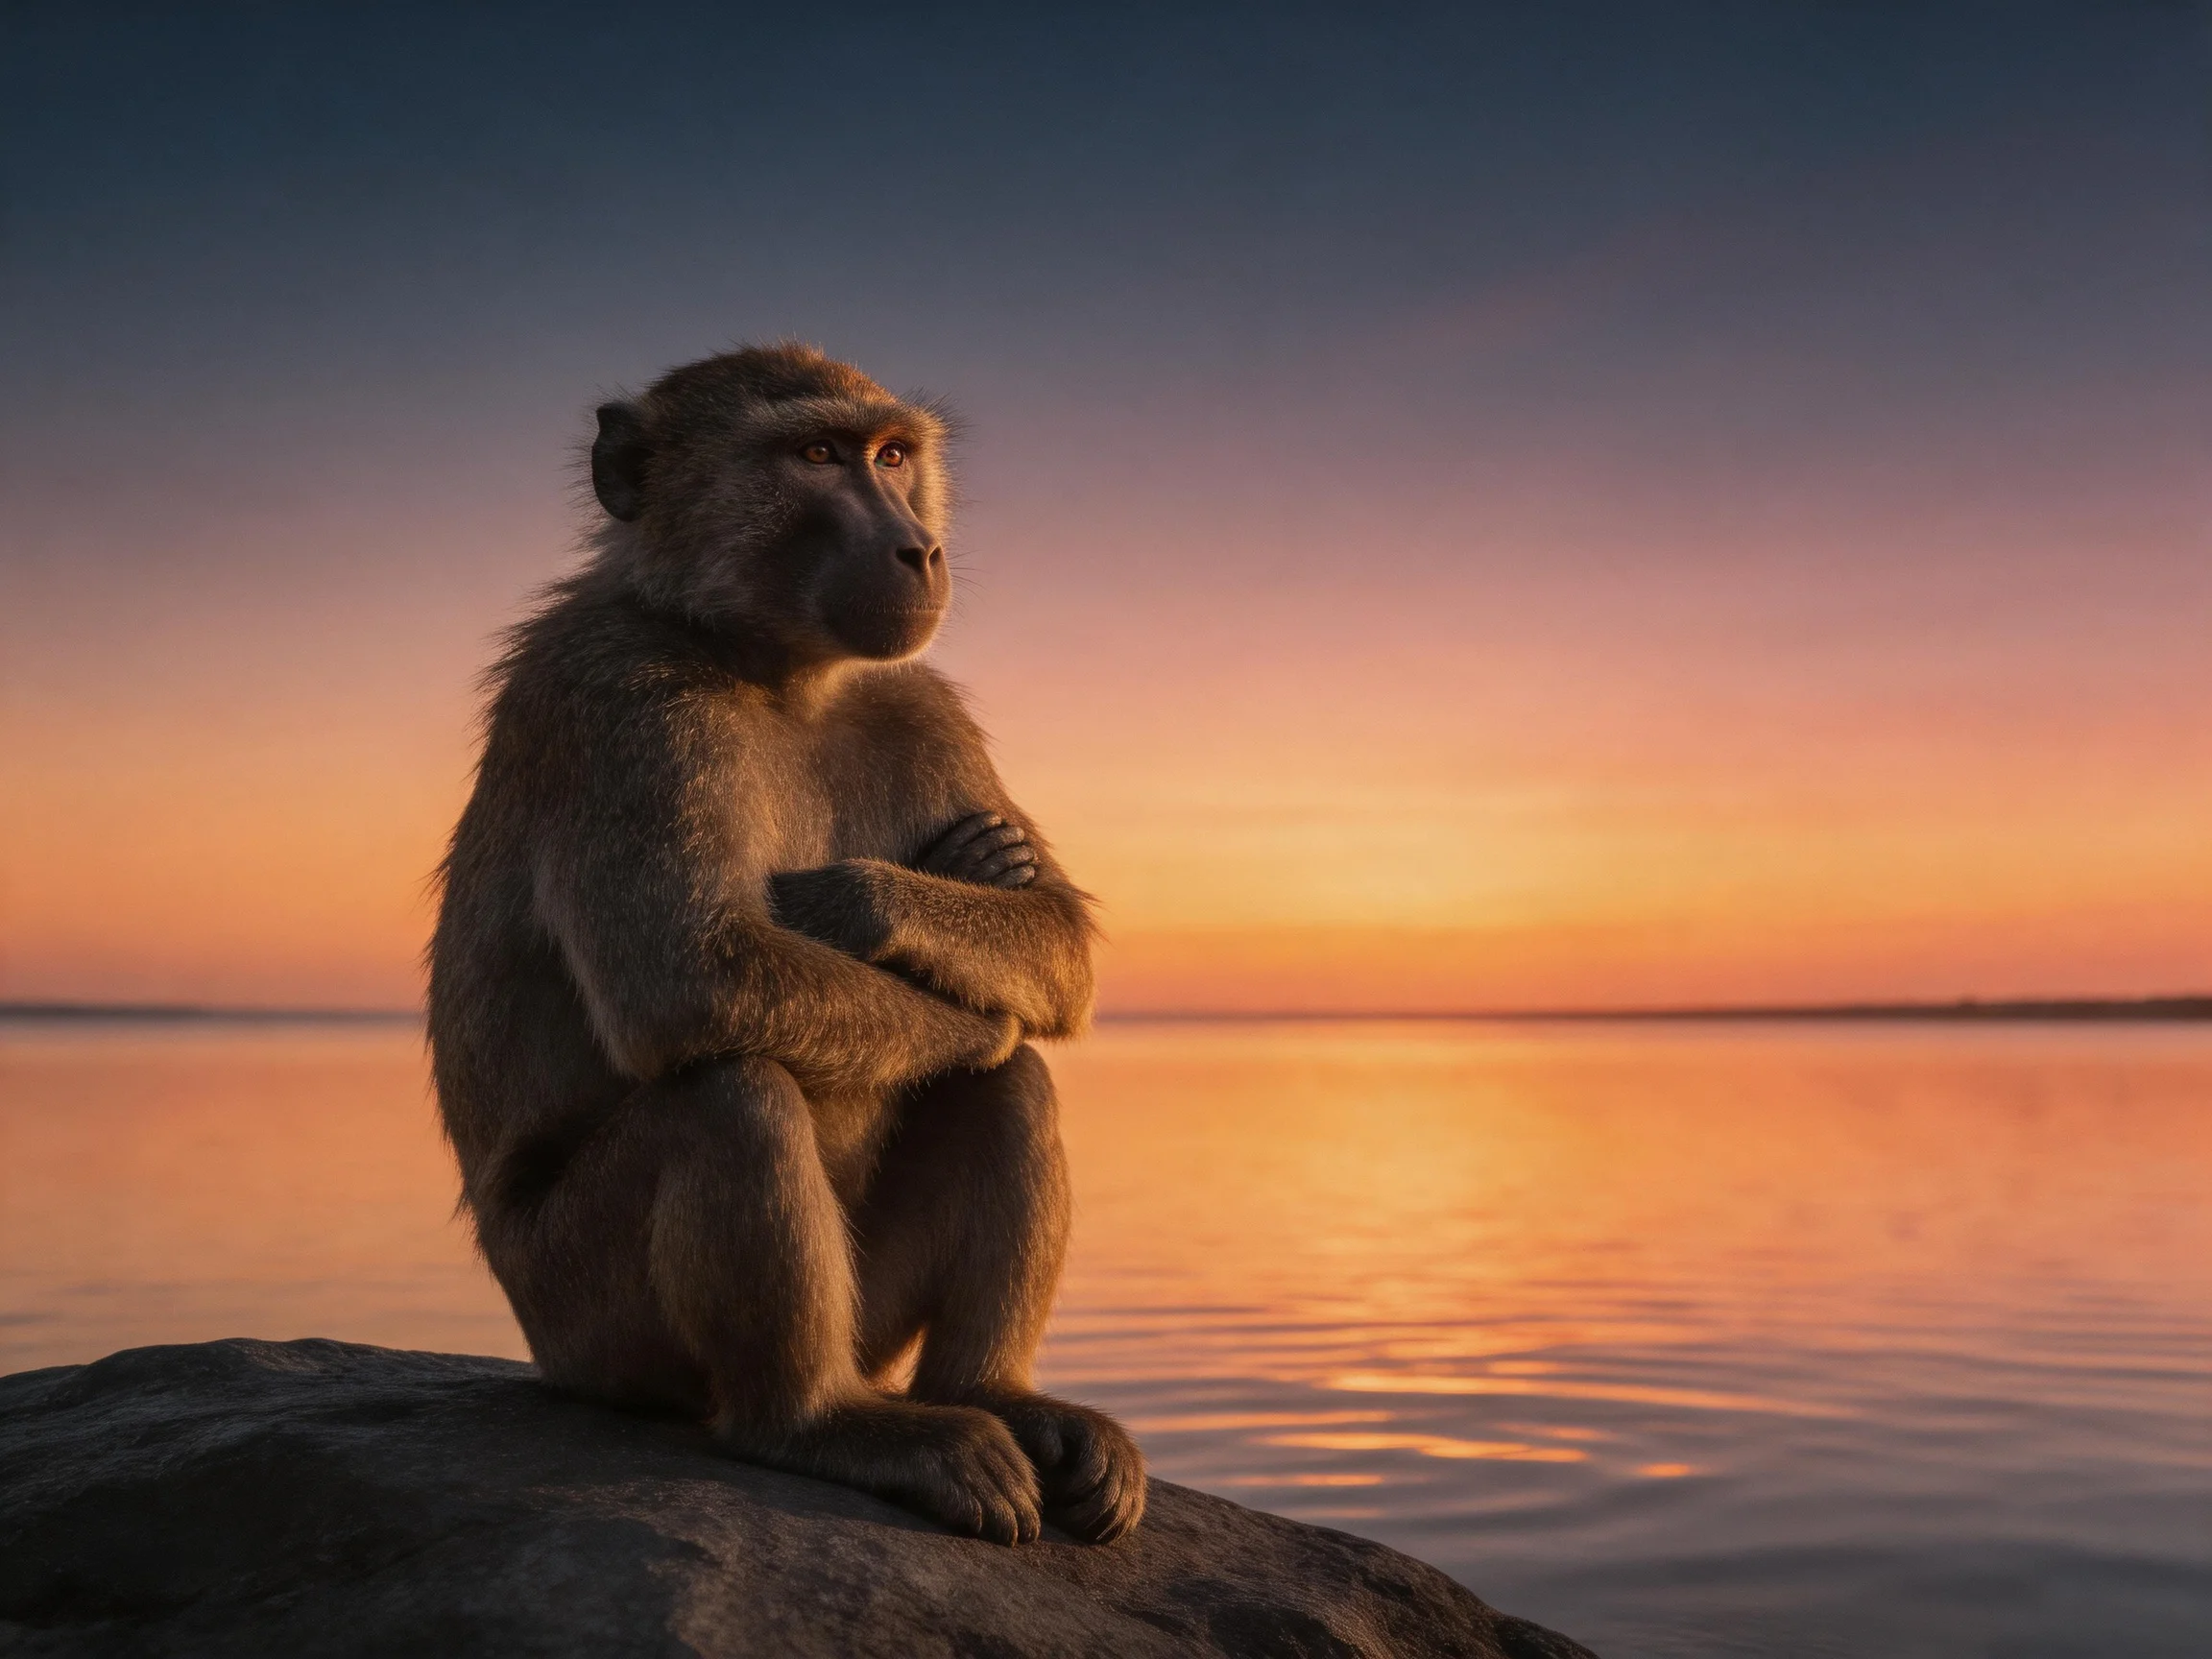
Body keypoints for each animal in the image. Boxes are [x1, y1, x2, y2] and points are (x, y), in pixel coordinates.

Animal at [426, 343, 1145, 1546]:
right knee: (732, 1092)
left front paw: (929, 893)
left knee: (1009, 1087)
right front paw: (912, 951)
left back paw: (994, 1396)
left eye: (892, 456)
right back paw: (810, 1424)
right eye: (814, 455)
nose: (918, 548)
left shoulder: (918, 699)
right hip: (586, 1325)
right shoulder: (619, 699)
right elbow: (695, 981)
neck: (769, 670)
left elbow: (1054, 942)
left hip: (869, 1325)